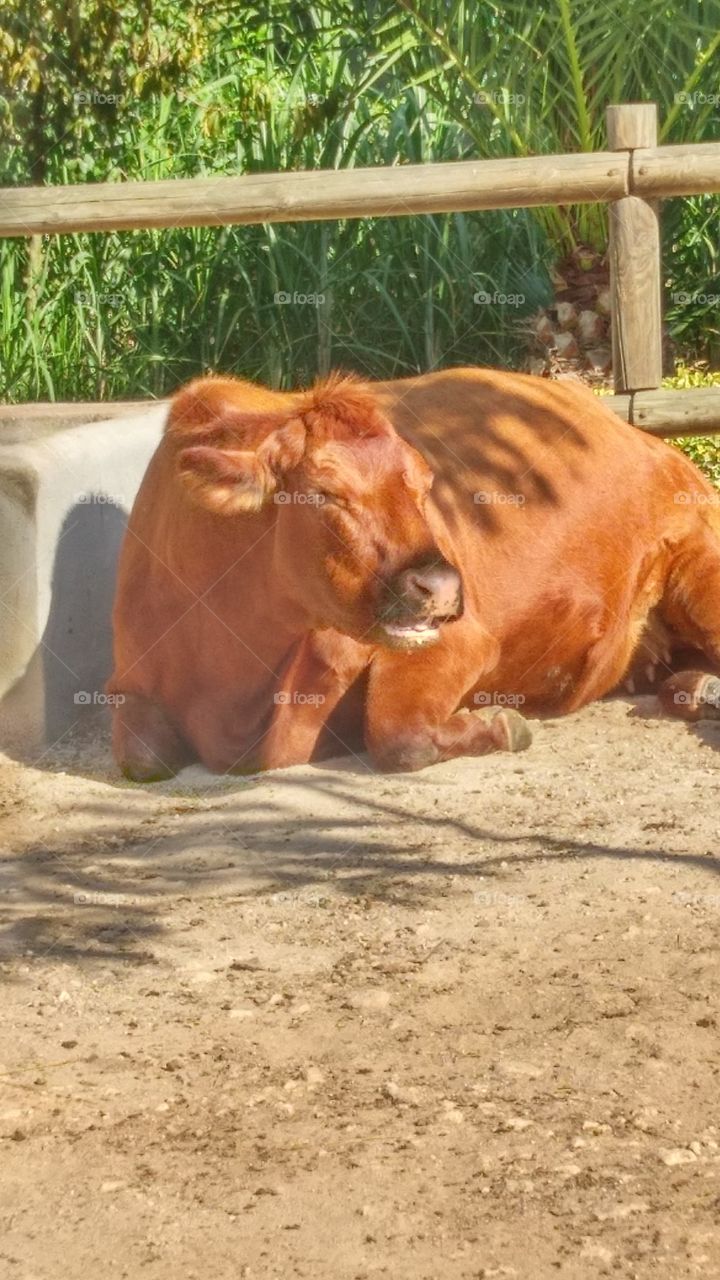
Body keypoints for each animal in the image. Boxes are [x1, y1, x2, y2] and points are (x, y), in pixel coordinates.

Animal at [108, 367, 720, 781]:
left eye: (425, 486)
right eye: (325, 493)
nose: (442, 587)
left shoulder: (460, 642)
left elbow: (396, 734)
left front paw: (498, 725)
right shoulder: (129, 684)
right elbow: (142, 757)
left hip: (698, 568)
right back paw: (696, 690)